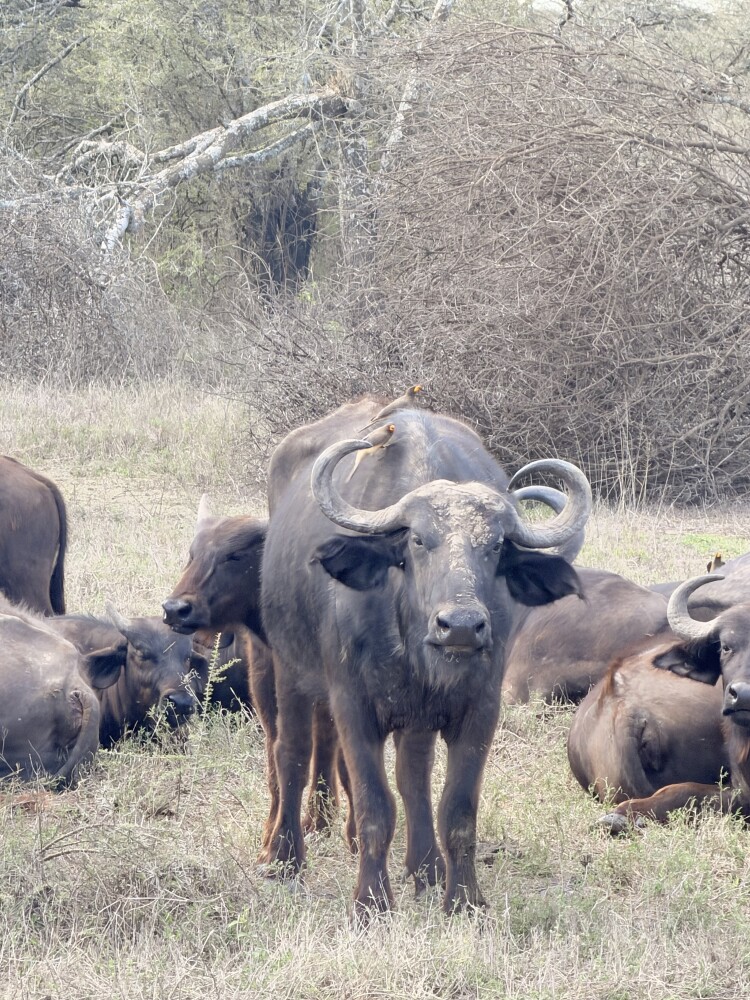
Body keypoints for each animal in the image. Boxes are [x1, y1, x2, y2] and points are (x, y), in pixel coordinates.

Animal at [259, 399, 591, 920]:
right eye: (417, 540)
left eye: (495, 545)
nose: (461, 626)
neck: (412, 644)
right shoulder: (352, 704)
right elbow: (375, 806)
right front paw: (371, 902)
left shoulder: (480, 709)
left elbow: (457, 809)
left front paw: (464, 899)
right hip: (290, 668)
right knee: (291, 752)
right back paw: (284, 858)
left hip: (415, 718)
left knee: (413, 775)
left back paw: (427, 869)